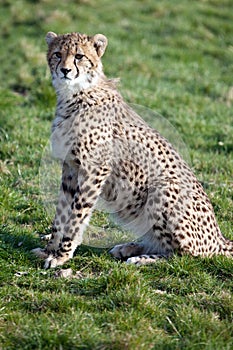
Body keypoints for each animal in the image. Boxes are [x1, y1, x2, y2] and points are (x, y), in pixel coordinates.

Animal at [31, 32, 232, 268]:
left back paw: (140, 258)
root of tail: (220, 239)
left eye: (79, 56)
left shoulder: (94, 169)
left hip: (162, 190)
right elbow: (61, 213)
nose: (65, 70)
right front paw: (49, 250)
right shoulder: (70, 167)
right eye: (57, 54)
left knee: (185, 256)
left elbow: (77, 215)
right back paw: (127, 248)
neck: (76, 94)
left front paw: (62, 255)